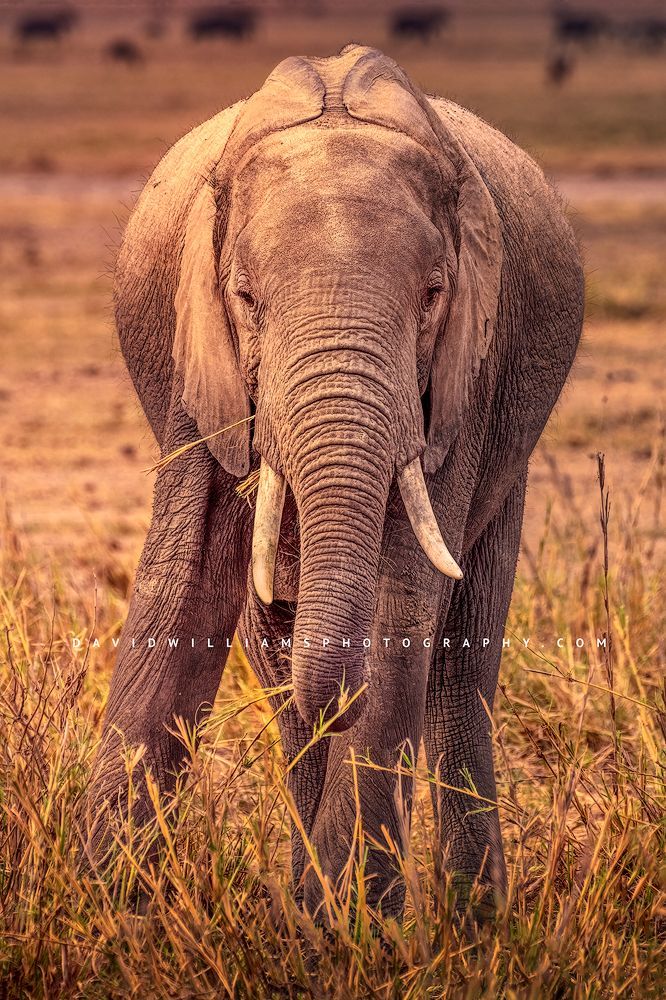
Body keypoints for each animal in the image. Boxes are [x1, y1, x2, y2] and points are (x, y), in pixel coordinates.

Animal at [91, 45, 583, 920]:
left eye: (433, 295)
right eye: (246, 297)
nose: (341, 705)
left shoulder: (465, 381)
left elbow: (404, 601)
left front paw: (353, 926)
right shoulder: (199, 360)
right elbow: (184, 582)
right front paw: (101, 908)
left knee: (463, 658)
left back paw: (473, 921)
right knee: (276, 661)